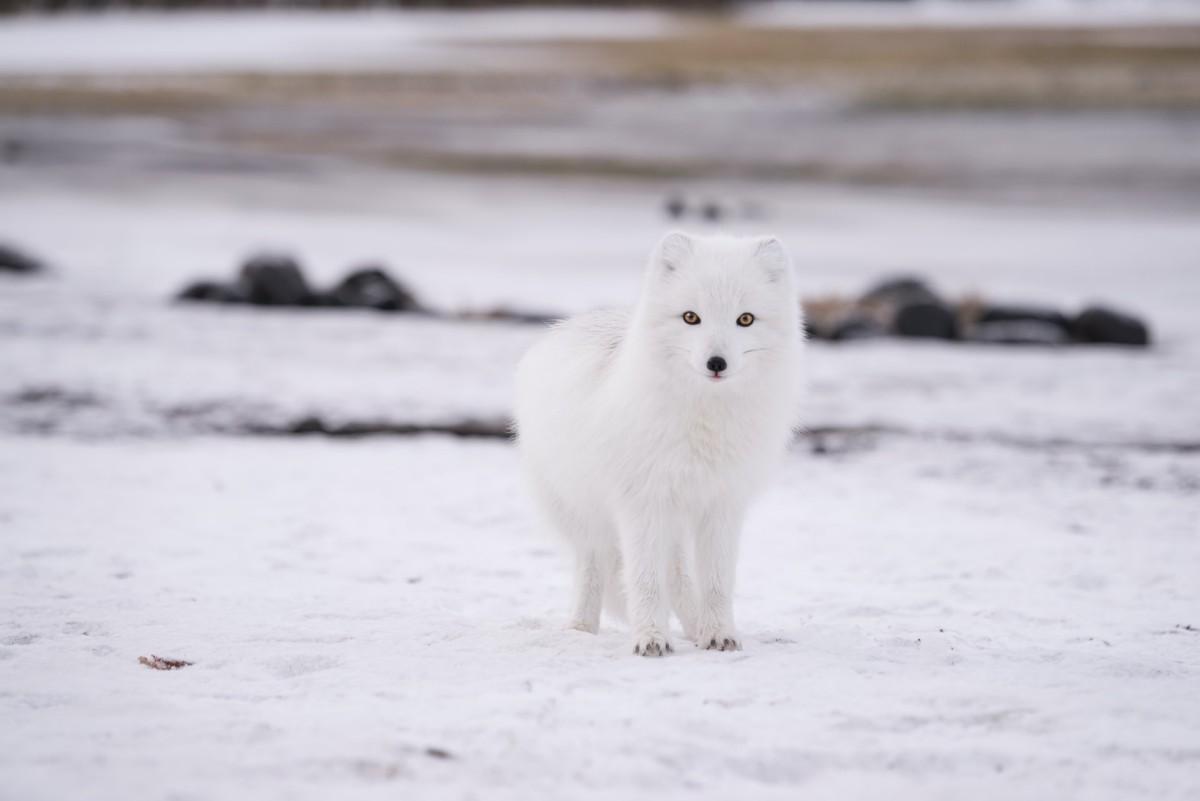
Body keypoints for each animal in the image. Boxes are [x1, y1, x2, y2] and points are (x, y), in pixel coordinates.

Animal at [511, 231, 801, 657]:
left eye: (745, 319)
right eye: (691, 317)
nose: (716, 363)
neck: (703, 421)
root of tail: (567, 325)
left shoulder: (722, 505)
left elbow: (716, 583)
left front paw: (719, 634)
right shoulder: (641, 503)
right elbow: (646, 581)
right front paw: (650, 639)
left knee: (679, 578)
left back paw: (696, 630)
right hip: (585, 514)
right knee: (593, 567)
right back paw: (581, 629)